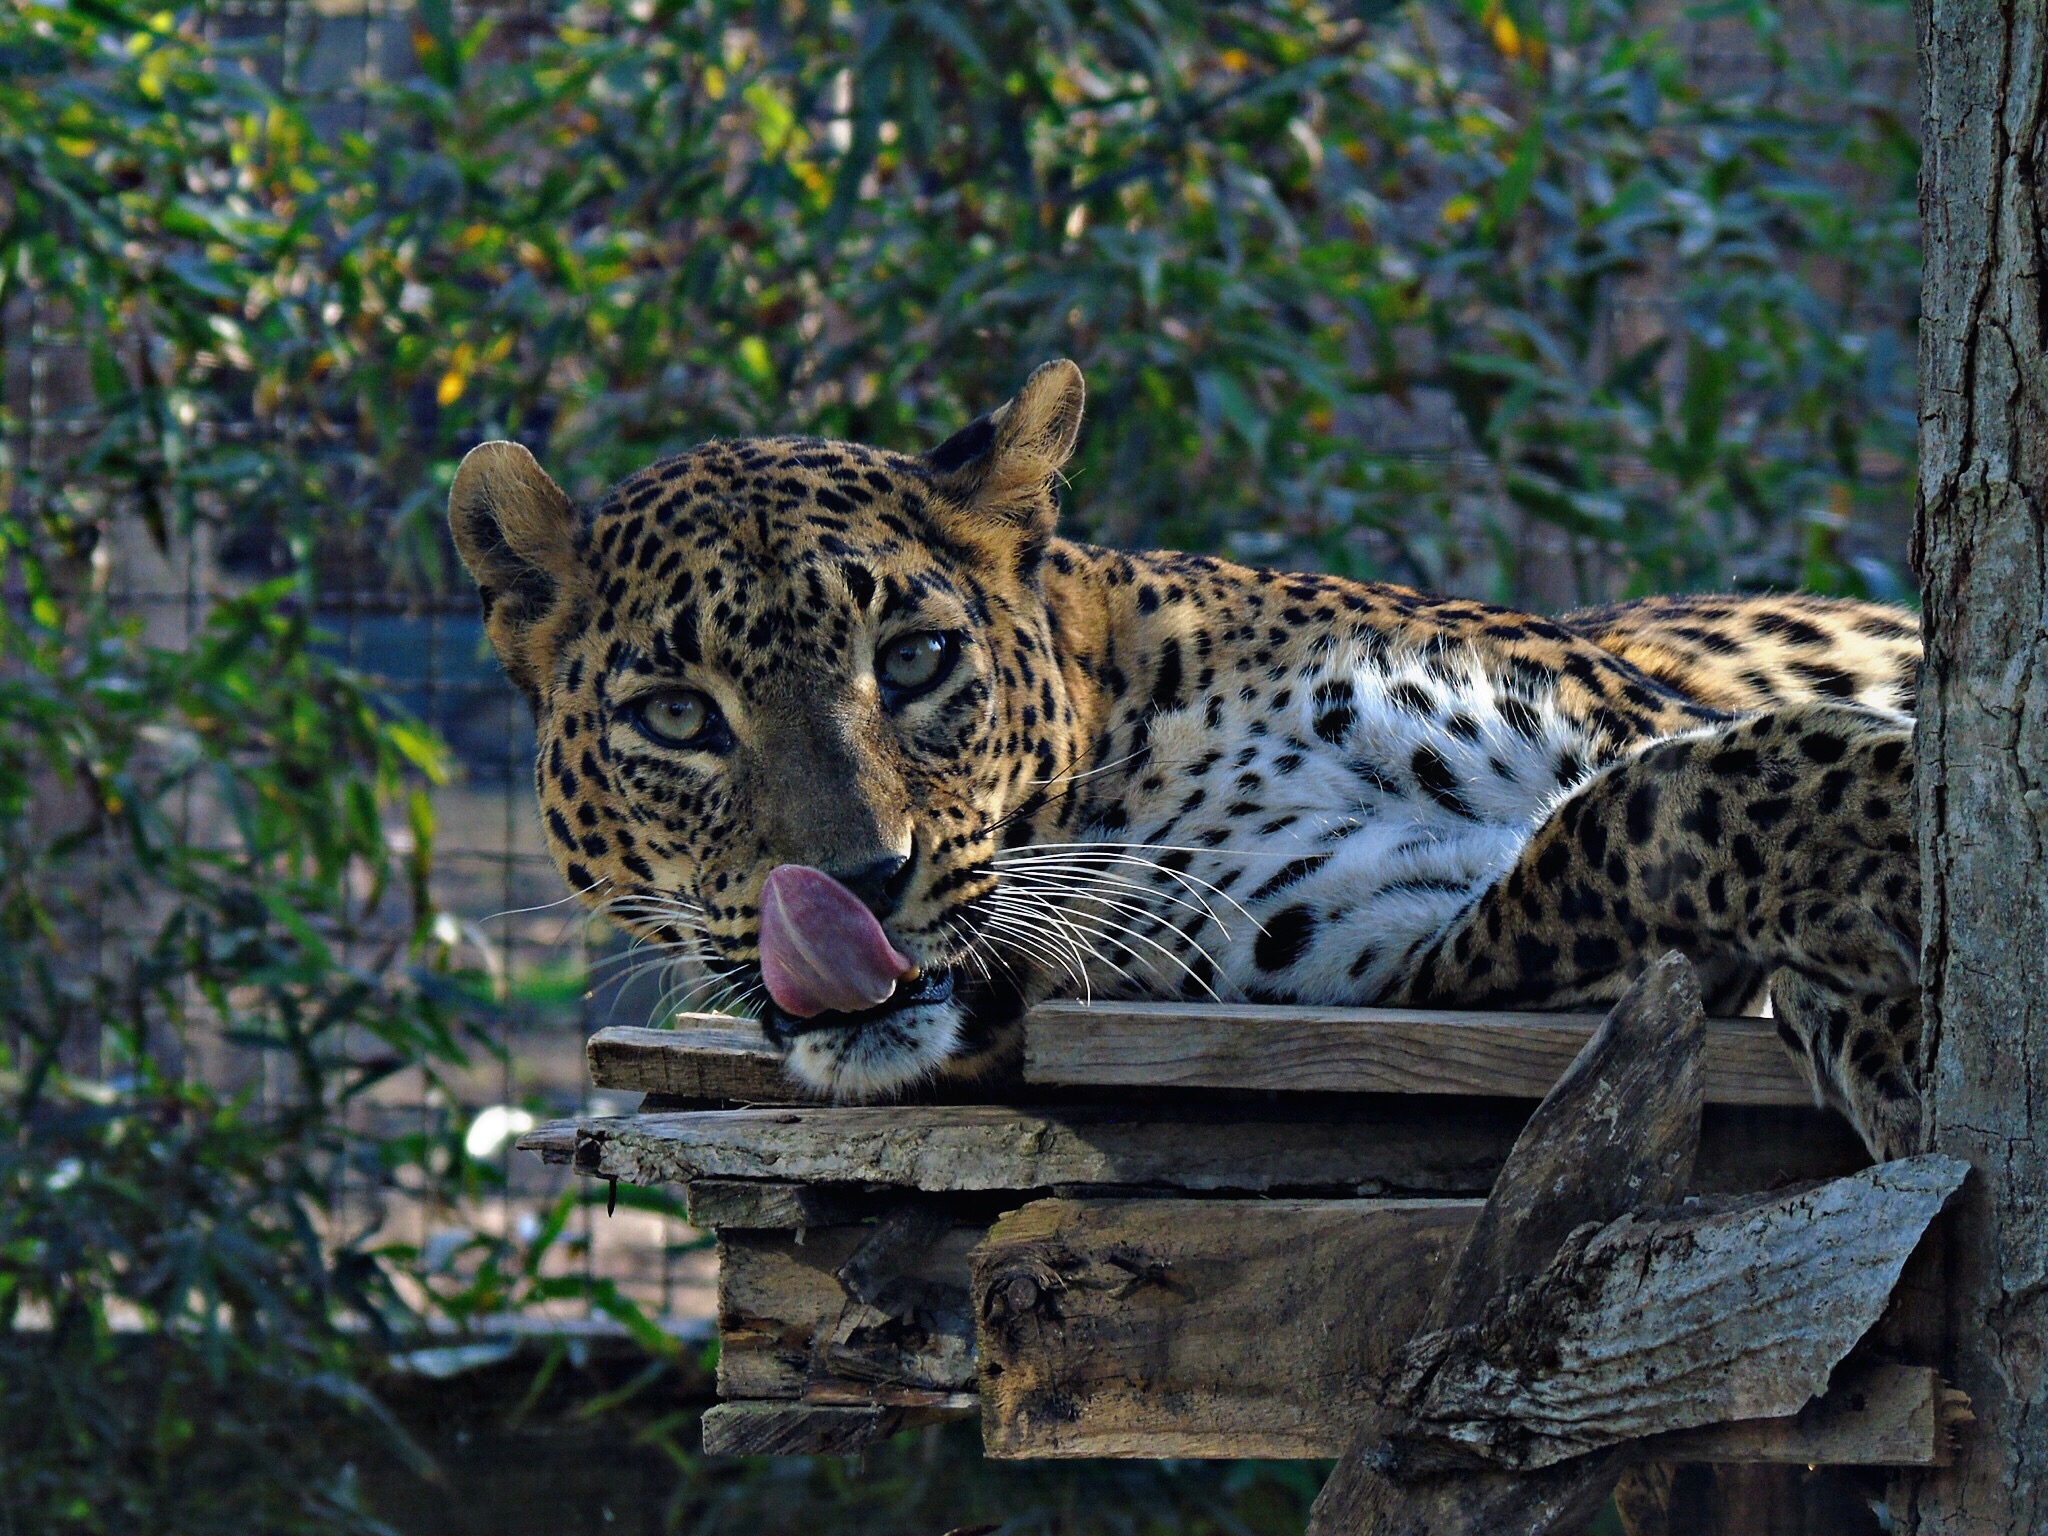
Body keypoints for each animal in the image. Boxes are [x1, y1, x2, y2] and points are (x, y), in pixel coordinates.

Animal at [444, 360, 1916, 1155]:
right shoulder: (1387, 943)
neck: (1138, 761)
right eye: (677, 717)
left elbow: (1721, 769)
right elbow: (1627, 820)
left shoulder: (1613, 713)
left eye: (911, 661)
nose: (855, 885)